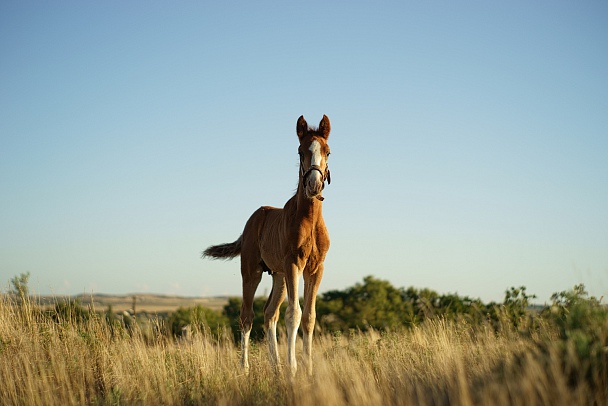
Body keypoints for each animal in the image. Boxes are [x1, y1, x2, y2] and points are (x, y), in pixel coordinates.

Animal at [202, 114, 330, 374]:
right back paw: (245, 368)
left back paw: (276, 367)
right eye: (300, 151)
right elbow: (294, 313)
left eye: (328, 151)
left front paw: (308, 369)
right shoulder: (294, 264)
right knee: (247, 315)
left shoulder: (315, 268)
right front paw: (294, 369)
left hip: (278, 275)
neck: (310, 220)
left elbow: (309, 316)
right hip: (252, 271)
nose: (314, 185)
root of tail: (252, 220)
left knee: (269, 313)